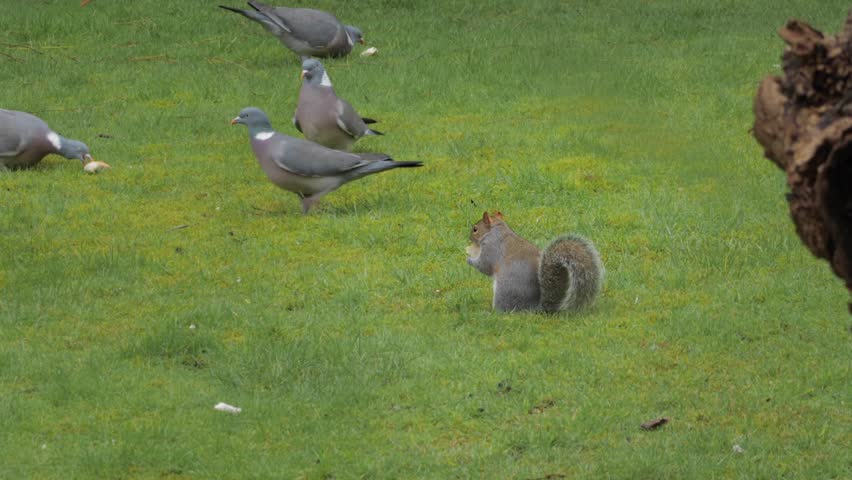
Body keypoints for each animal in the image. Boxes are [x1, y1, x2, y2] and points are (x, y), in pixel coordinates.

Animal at [465, 211, 604, 313]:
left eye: (475, 229)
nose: (469, 237)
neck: (496, 231)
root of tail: (533, 308)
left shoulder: (491, 248)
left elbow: (484, 266)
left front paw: (469, 258)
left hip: (503, 290)